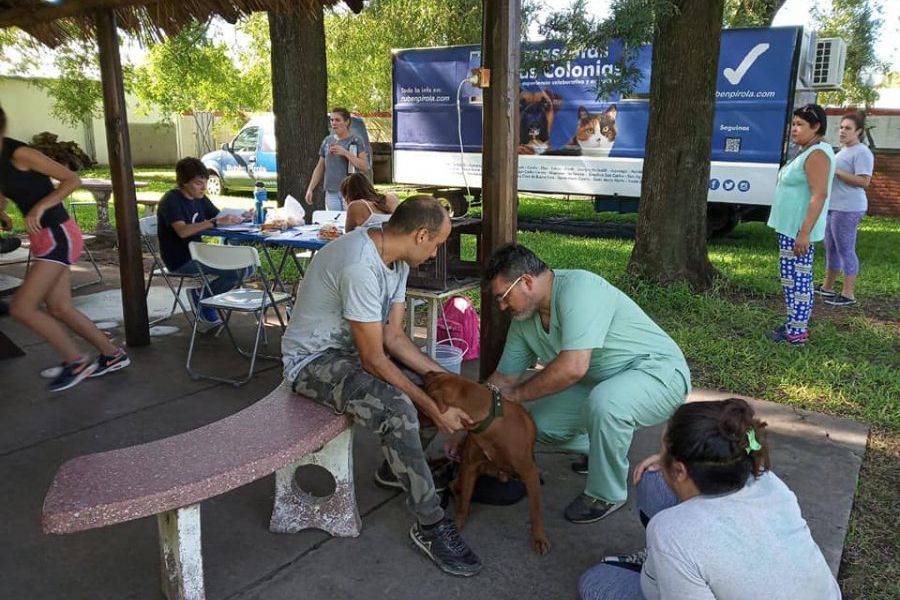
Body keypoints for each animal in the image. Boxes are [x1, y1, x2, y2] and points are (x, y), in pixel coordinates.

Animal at [422, 372, 548, 556]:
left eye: (425, 392)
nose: (425, 374)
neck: (492, 422)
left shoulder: (529, 472)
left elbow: (536, 511)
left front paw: (539, 538)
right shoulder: (469, 466)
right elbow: (465, 498)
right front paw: (459, 519)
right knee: (454, 485)